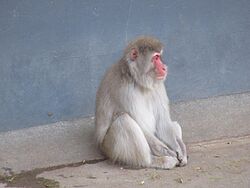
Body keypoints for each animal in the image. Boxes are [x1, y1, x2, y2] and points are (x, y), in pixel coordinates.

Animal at [94, 35, 187, 169]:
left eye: (159, 56)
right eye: (156, 58)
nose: (164, 67)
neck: (137, 80)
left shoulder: (158, 85)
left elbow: (163, 122)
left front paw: (180, 149)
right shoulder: (124, 90)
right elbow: (140, 125)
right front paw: (168, 152)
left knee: (174, 124)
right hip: (109, 148)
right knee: (124, 120)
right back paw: (154, 161)